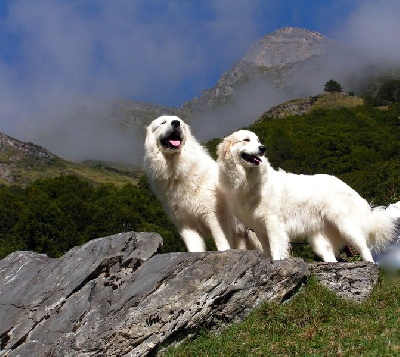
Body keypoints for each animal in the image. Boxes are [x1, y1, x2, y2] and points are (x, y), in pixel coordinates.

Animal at [142, 115, 260, 252]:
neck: (177, 169)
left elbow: (221, 243)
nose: (176, 123)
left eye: (180, 122)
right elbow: (194, 248)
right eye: (163, 122)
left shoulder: (214, 216)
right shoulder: (186, 225)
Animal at [217, 129, 396, 262]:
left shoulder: (273, 224)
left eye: (258, 140)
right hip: (319, 239)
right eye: (246, 140)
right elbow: (267, 249)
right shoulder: (259, 228)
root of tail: (343, 184)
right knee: (330, 256)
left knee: (364, 248)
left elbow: (276, 248)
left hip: (347, 226)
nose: (262, 148)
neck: (249, 180)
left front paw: (278, 262)